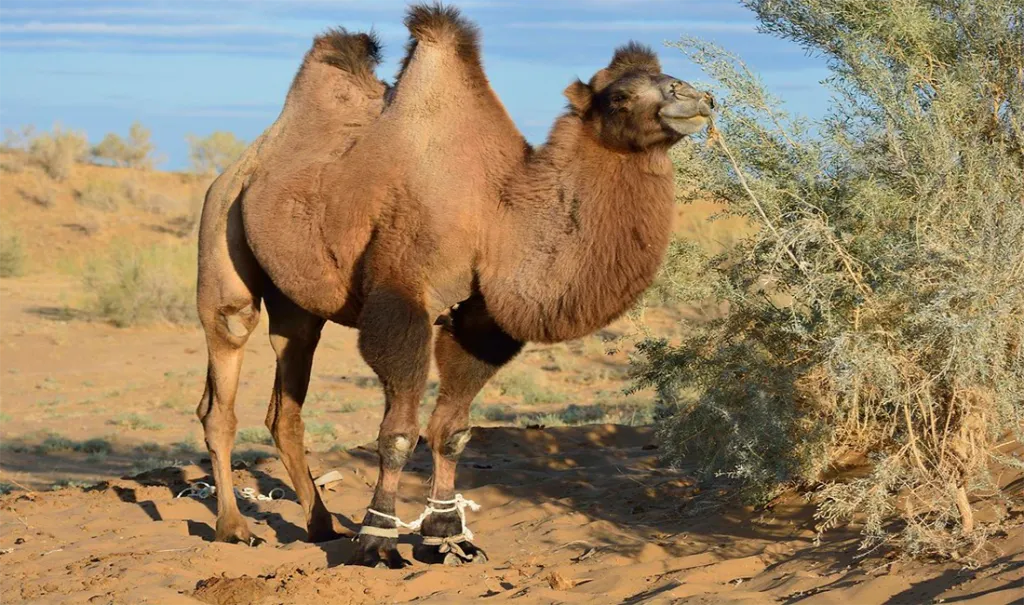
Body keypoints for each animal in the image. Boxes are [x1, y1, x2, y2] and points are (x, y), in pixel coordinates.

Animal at [194, 3, 713, 568]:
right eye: (618, 95)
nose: (697, 97)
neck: (497, 214)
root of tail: (240, 166)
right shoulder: (404, 297)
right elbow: (400, 433)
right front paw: (377, 540)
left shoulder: (480, 318)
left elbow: (452, 432)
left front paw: (447, 534)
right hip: (221, 236)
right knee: (222, 383)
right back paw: (234, 528)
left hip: (297, 303)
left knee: (285, 404)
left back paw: (321, 525)